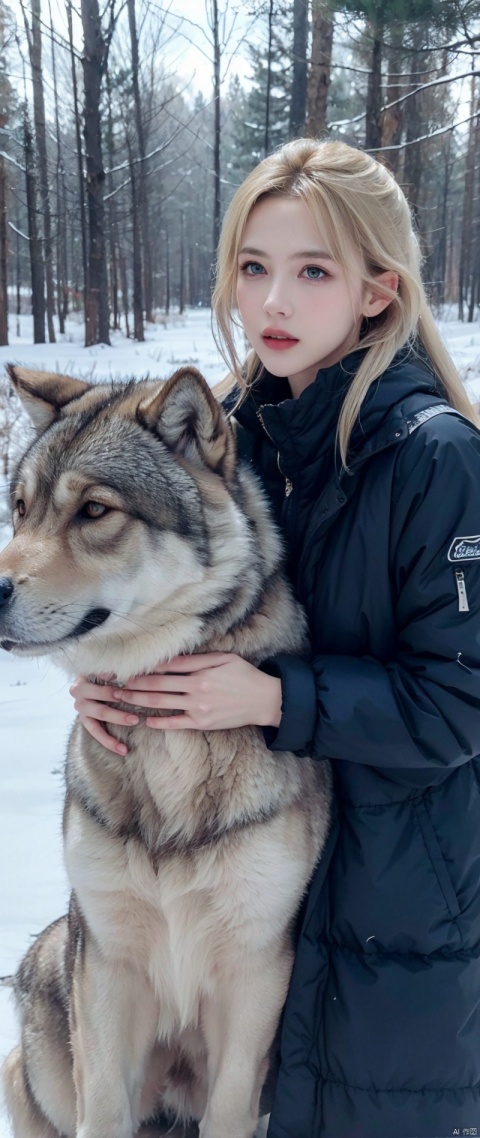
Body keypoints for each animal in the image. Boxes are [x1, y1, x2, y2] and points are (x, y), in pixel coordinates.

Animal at [0, 364, 329, 1138]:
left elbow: (230, 1109)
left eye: (94, 510)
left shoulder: (254, 976)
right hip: (51, 982)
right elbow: (103, 1111)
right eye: (21, 510)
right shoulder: (107, 967)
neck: (166, 744)